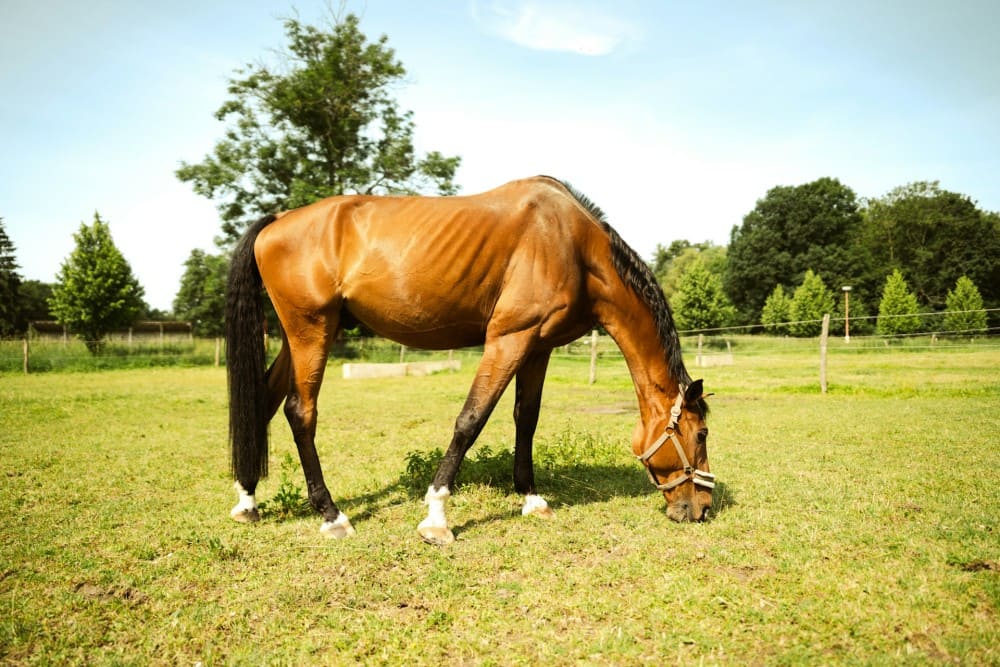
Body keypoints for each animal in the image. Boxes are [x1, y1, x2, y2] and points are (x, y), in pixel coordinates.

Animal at [226, 175, 713, 545]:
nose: (704, 508)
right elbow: (471, 420)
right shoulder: (508, 339)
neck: (572, 244)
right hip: (312, 332)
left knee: (263, 403)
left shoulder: (538, 346)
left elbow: (526, 418)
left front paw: (531, 497)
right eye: (701, 434)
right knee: (300, 412)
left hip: (299, 339)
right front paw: (437, 517)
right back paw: (331, 515)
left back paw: (248, 500)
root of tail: (278, 221)